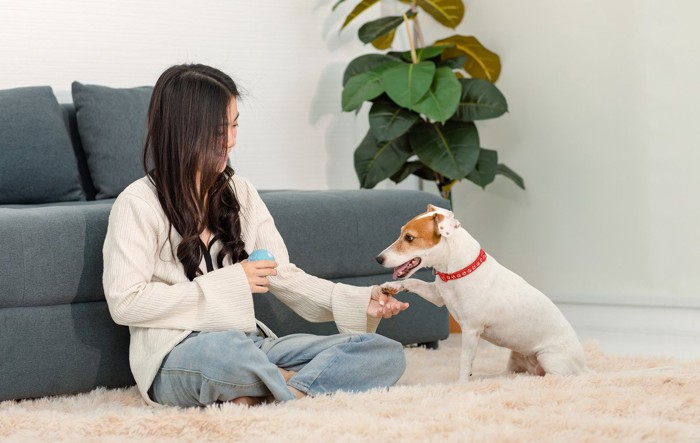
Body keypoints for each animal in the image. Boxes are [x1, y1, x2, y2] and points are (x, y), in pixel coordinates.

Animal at [378, 205, 584, 382]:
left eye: (409, 238)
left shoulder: (470, 330)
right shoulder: (438, 296)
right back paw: (485, 377)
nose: (378, 259)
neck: (456, 272)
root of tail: (584, 367)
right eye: (401, 233)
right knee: (509, 374)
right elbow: (413, 282)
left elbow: (464, 360)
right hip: (515, 358)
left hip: (549, 358)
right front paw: (391, 286)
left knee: (551, 377)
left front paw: (460, 385)